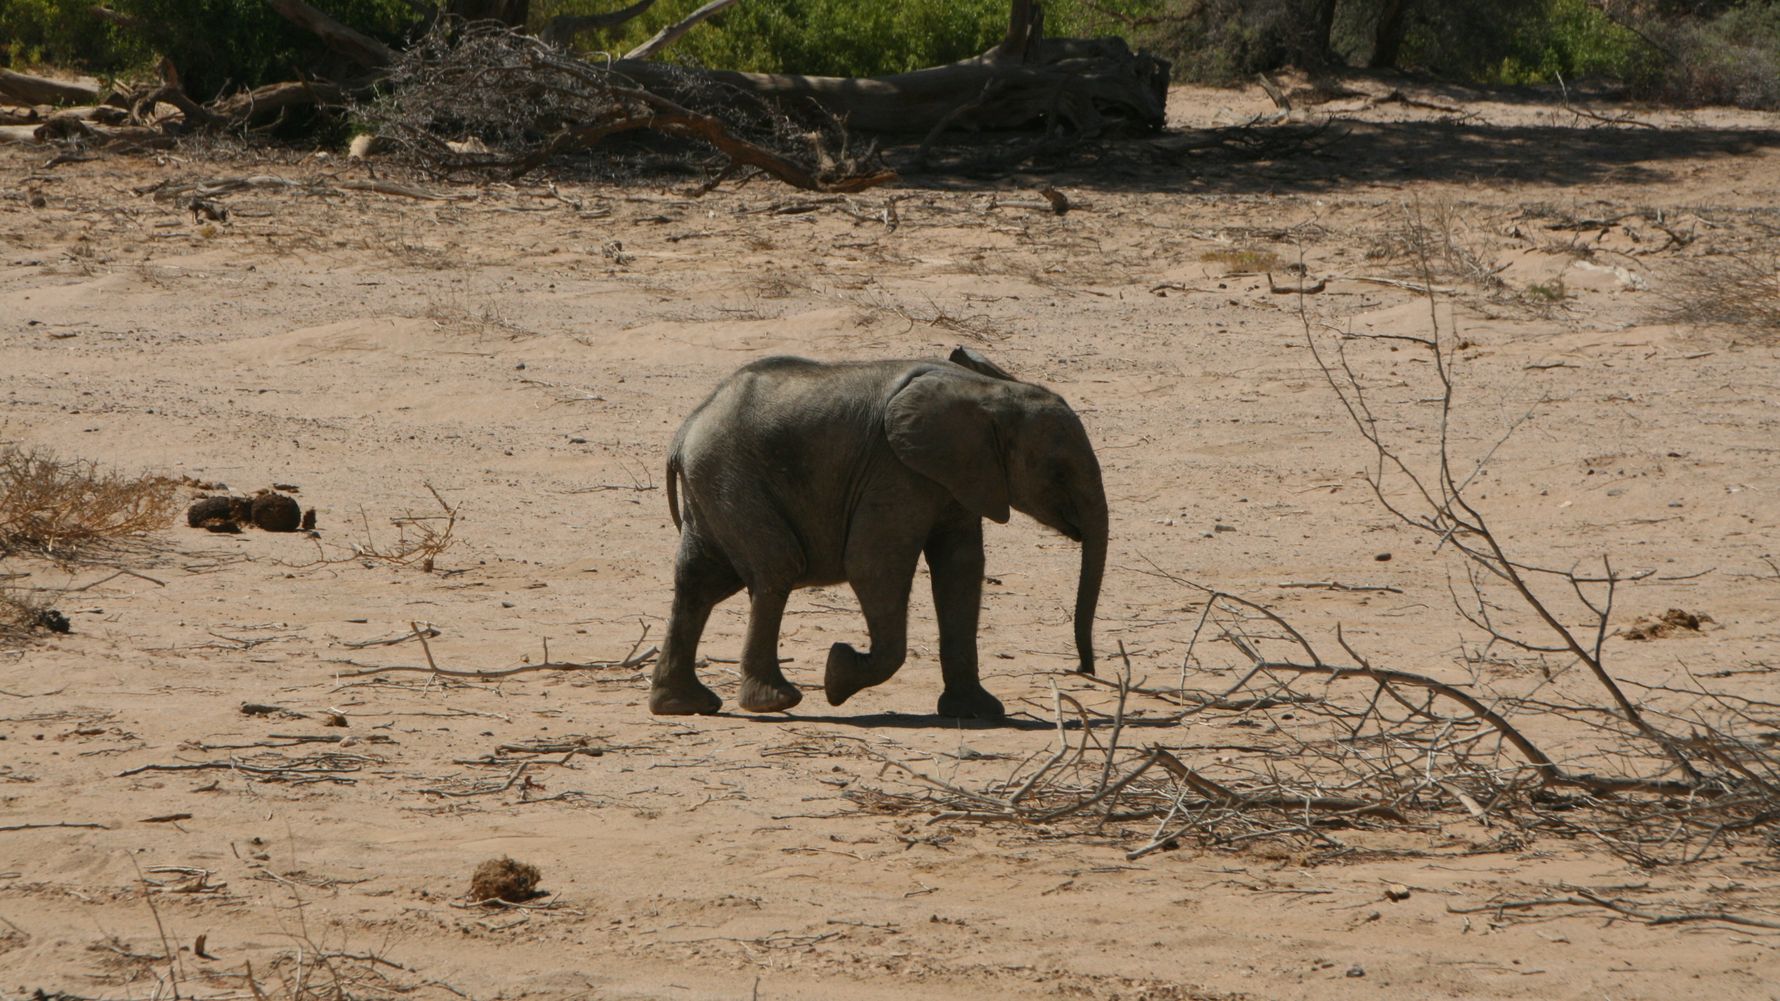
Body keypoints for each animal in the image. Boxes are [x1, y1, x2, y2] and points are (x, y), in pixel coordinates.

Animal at [650, 348, 1107, 720]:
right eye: (1059, 471)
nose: (1083, 670)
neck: (990, 391)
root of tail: (686, 429)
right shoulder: (895, 470)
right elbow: (874, 566)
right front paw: (838, 674)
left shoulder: (957, 477)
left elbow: (961, 571)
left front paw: (978, 712)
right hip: (732, 478)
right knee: (776, 567)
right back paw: (776, 702)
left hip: (714, 486)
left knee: (699, 582)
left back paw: (684, 706)